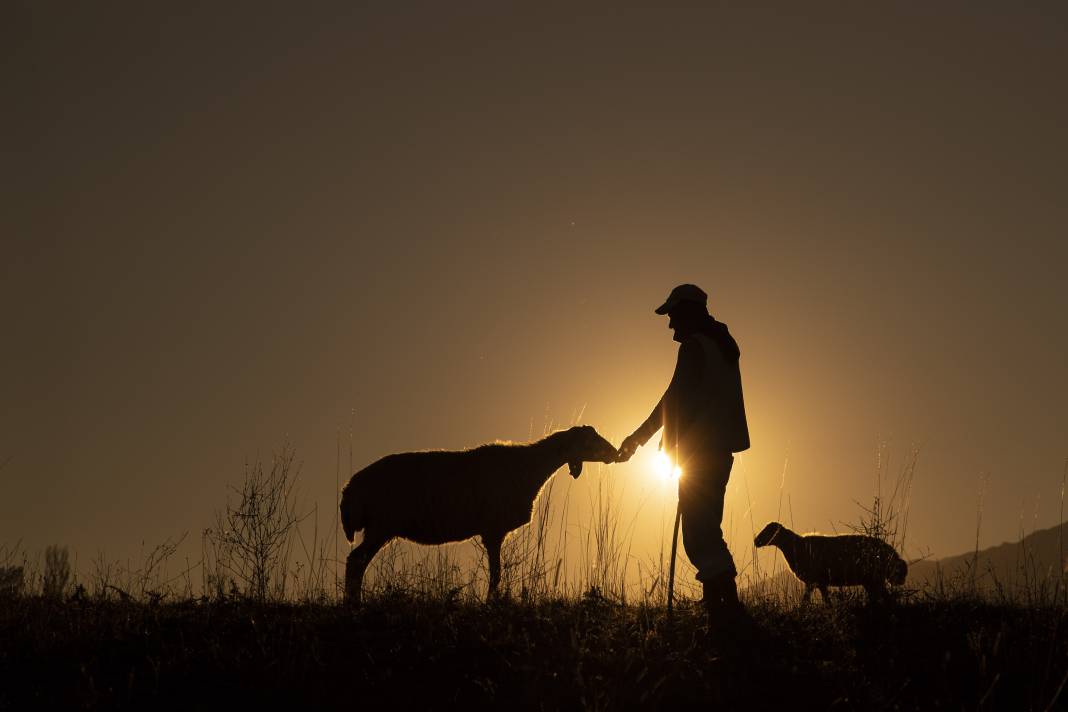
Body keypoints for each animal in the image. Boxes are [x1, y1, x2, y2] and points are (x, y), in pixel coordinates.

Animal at [341, 426, 619, 606]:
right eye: (590, 440)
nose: (615, 453)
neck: (531, 466)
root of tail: (351, 488)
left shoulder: (493, 532)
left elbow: (496, 572)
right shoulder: (493, 530)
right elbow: (496, 574)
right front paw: (490, 604)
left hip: (380, 528)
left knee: (358, 562)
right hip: (381, 526)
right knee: (355, 561)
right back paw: (353, 605)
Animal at [751, 520, 909, 606]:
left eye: (769, 531)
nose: (756, 541)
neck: (796, 547)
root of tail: (890, 552)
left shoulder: (814, 581)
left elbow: (808, 602)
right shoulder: (820, 583)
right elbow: (825, 602)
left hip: (875, 578)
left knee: (886, 599)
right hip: (870, 580)